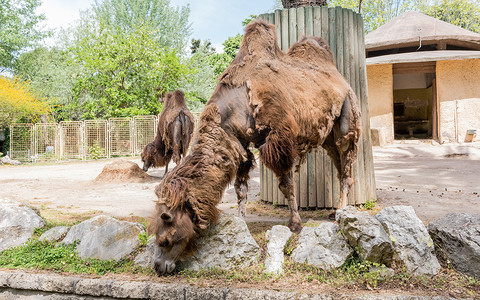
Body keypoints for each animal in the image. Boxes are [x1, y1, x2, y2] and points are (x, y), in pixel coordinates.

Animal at [148, 19, 362, 276]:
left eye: (165, 238)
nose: (158, 266)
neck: (236, 104)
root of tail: (340, 77)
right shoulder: (237, 143)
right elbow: (241, 189)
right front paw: (240, 222)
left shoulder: (279, 139)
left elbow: (286, 185)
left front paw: (295, 224)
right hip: (327, 136)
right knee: (339, 165)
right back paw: (336, 209)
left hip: (348, 117)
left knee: (347, 164)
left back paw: (340, 212)